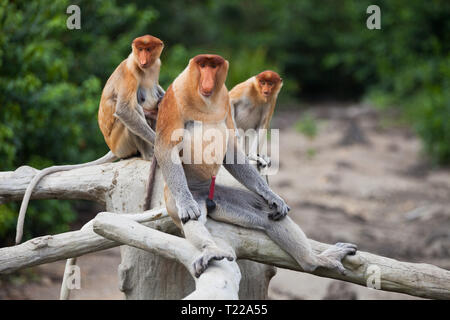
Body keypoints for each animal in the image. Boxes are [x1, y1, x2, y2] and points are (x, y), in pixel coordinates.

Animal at [16, 35, 166, 244]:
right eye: (140, 49)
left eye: (149, 49)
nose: (143, 59)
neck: (144, 68)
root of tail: (112, 147)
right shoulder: (131, 71)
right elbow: (124, 110)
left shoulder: (155, 65)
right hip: (120, 140)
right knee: (132, 109)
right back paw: (147, 154)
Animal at [155, 54, 358, 278]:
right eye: (203, 66)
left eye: (214, 66)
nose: (207, 81)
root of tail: (205, 194)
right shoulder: (175, 96)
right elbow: (166, 146)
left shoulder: (225, 99)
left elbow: (232, 152)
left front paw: (272, 196)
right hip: (176, 199)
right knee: (192, 218)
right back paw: (211, 249)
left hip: (218, 195)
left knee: (267, 216)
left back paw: (315, 260)